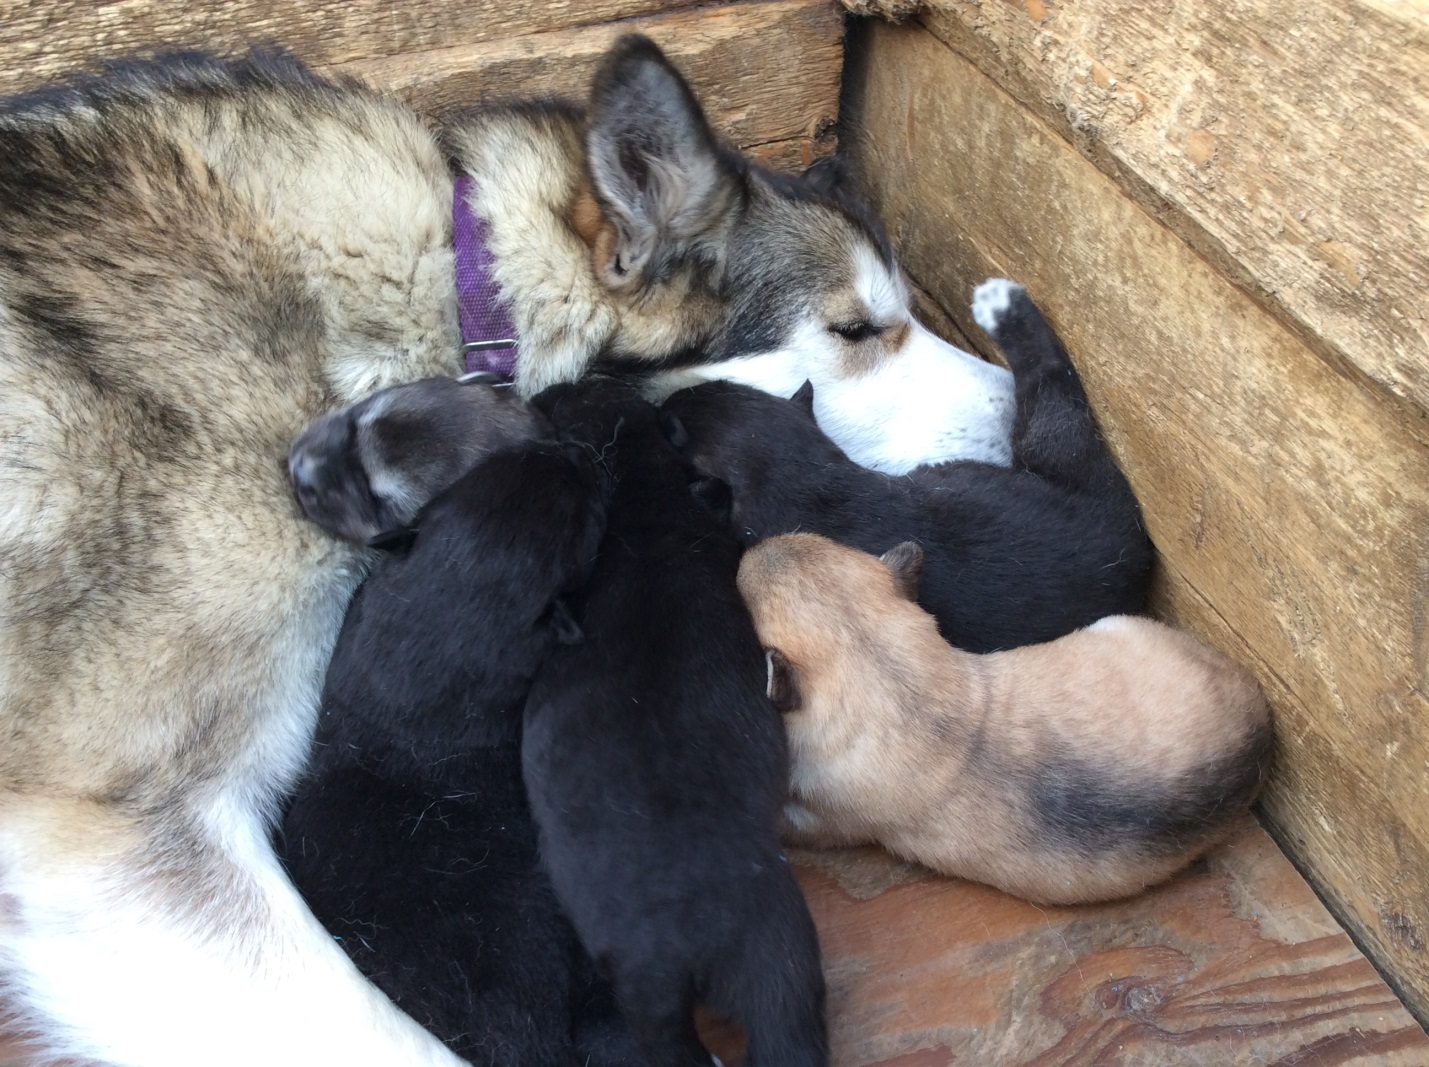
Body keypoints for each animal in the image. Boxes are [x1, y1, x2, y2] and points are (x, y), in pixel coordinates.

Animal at [663, 279, 1154, 654]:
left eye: (672, 427)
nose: (664, 403)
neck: (809, 478)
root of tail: (1133, 549)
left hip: (1054, 441)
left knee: (1051, 378)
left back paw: (1005, 306)